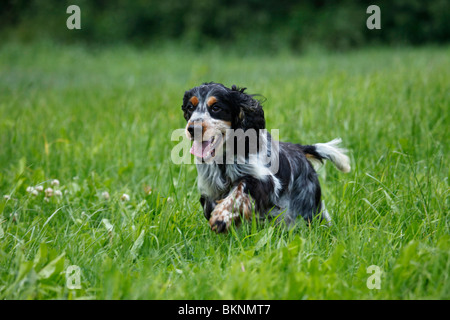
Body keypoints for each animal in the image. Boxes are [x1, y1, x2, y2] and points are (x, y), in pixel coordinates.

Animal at [181, 82, 350, 232]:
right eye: (190, 107)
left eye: (216, 107)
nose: (192, 129)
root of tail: (298, 149)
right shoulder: (209, 189)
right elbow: (211, 206)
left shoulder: (264, 180)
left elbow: (239, 190)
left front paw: (221, 218)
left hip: (307, 204)